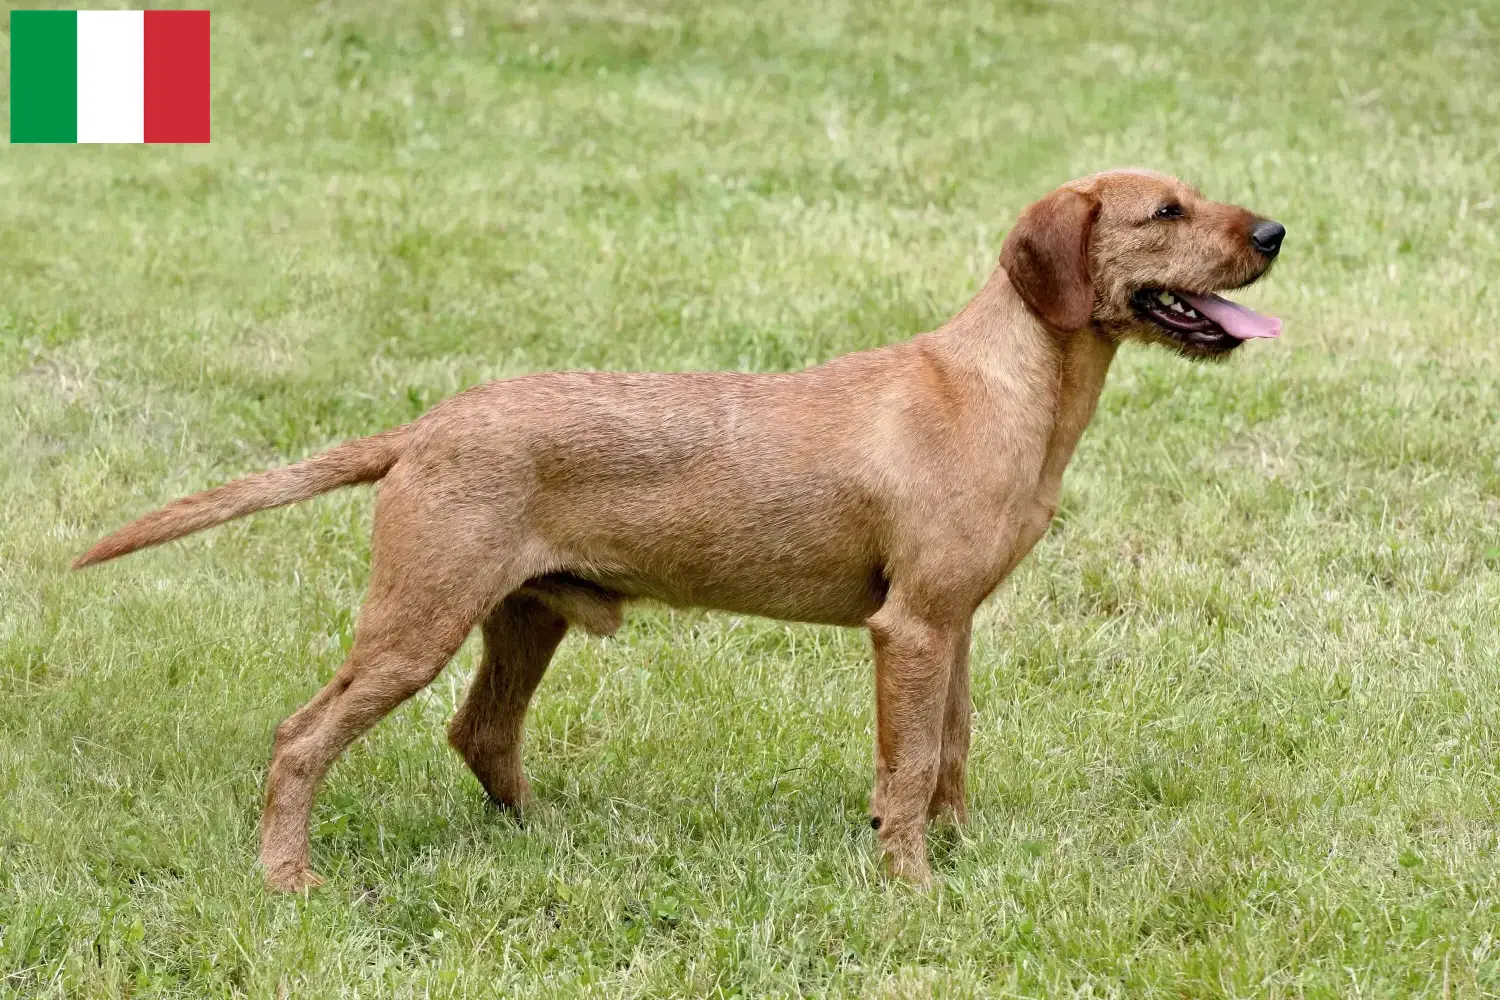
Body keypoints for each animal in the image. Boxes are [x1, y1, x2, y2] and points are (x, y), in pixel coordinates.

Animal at [76, 166, 1284, 893]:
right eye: (1165, 213)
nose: (1276, 229)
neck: (1002, 385)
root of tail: (426, 424)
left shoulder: (956, 625)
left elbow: (952, 753)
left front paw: (955, 853)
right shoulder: (912, 629)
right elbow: (906, 767)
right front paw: (911, 887)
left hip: (523, 617)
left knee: (481, 731)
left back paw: (550, 837)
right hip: (416, 621)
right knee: (302, 737)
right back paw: (288, 876)